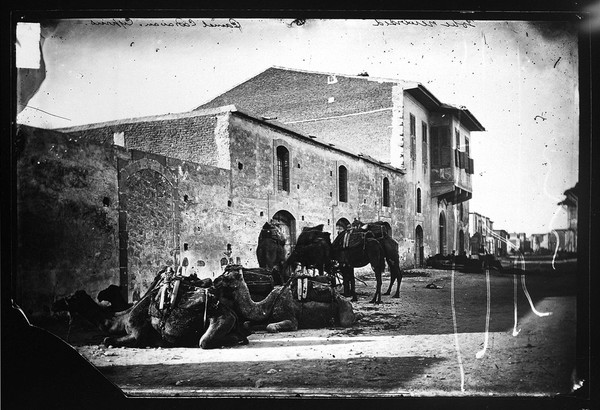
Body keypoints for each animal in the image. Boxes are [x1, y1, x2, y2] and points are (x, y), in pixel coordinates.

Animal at [51, 270, 248, 348]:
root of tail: (231, 312)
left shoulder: (137, 332)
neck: (122, 318)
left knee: (205, 342)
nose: (55, 304)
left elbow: (107, 339)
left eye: (71, 298)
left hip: (221, 318)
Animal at [212, 266, 356, 334]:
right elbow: (247, 323)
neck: (265, 305)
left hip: (345, 310)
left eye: (227, 278)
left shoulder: (291, 320)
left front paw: (274, 329)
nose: (215, 281)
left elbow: (271, 326)